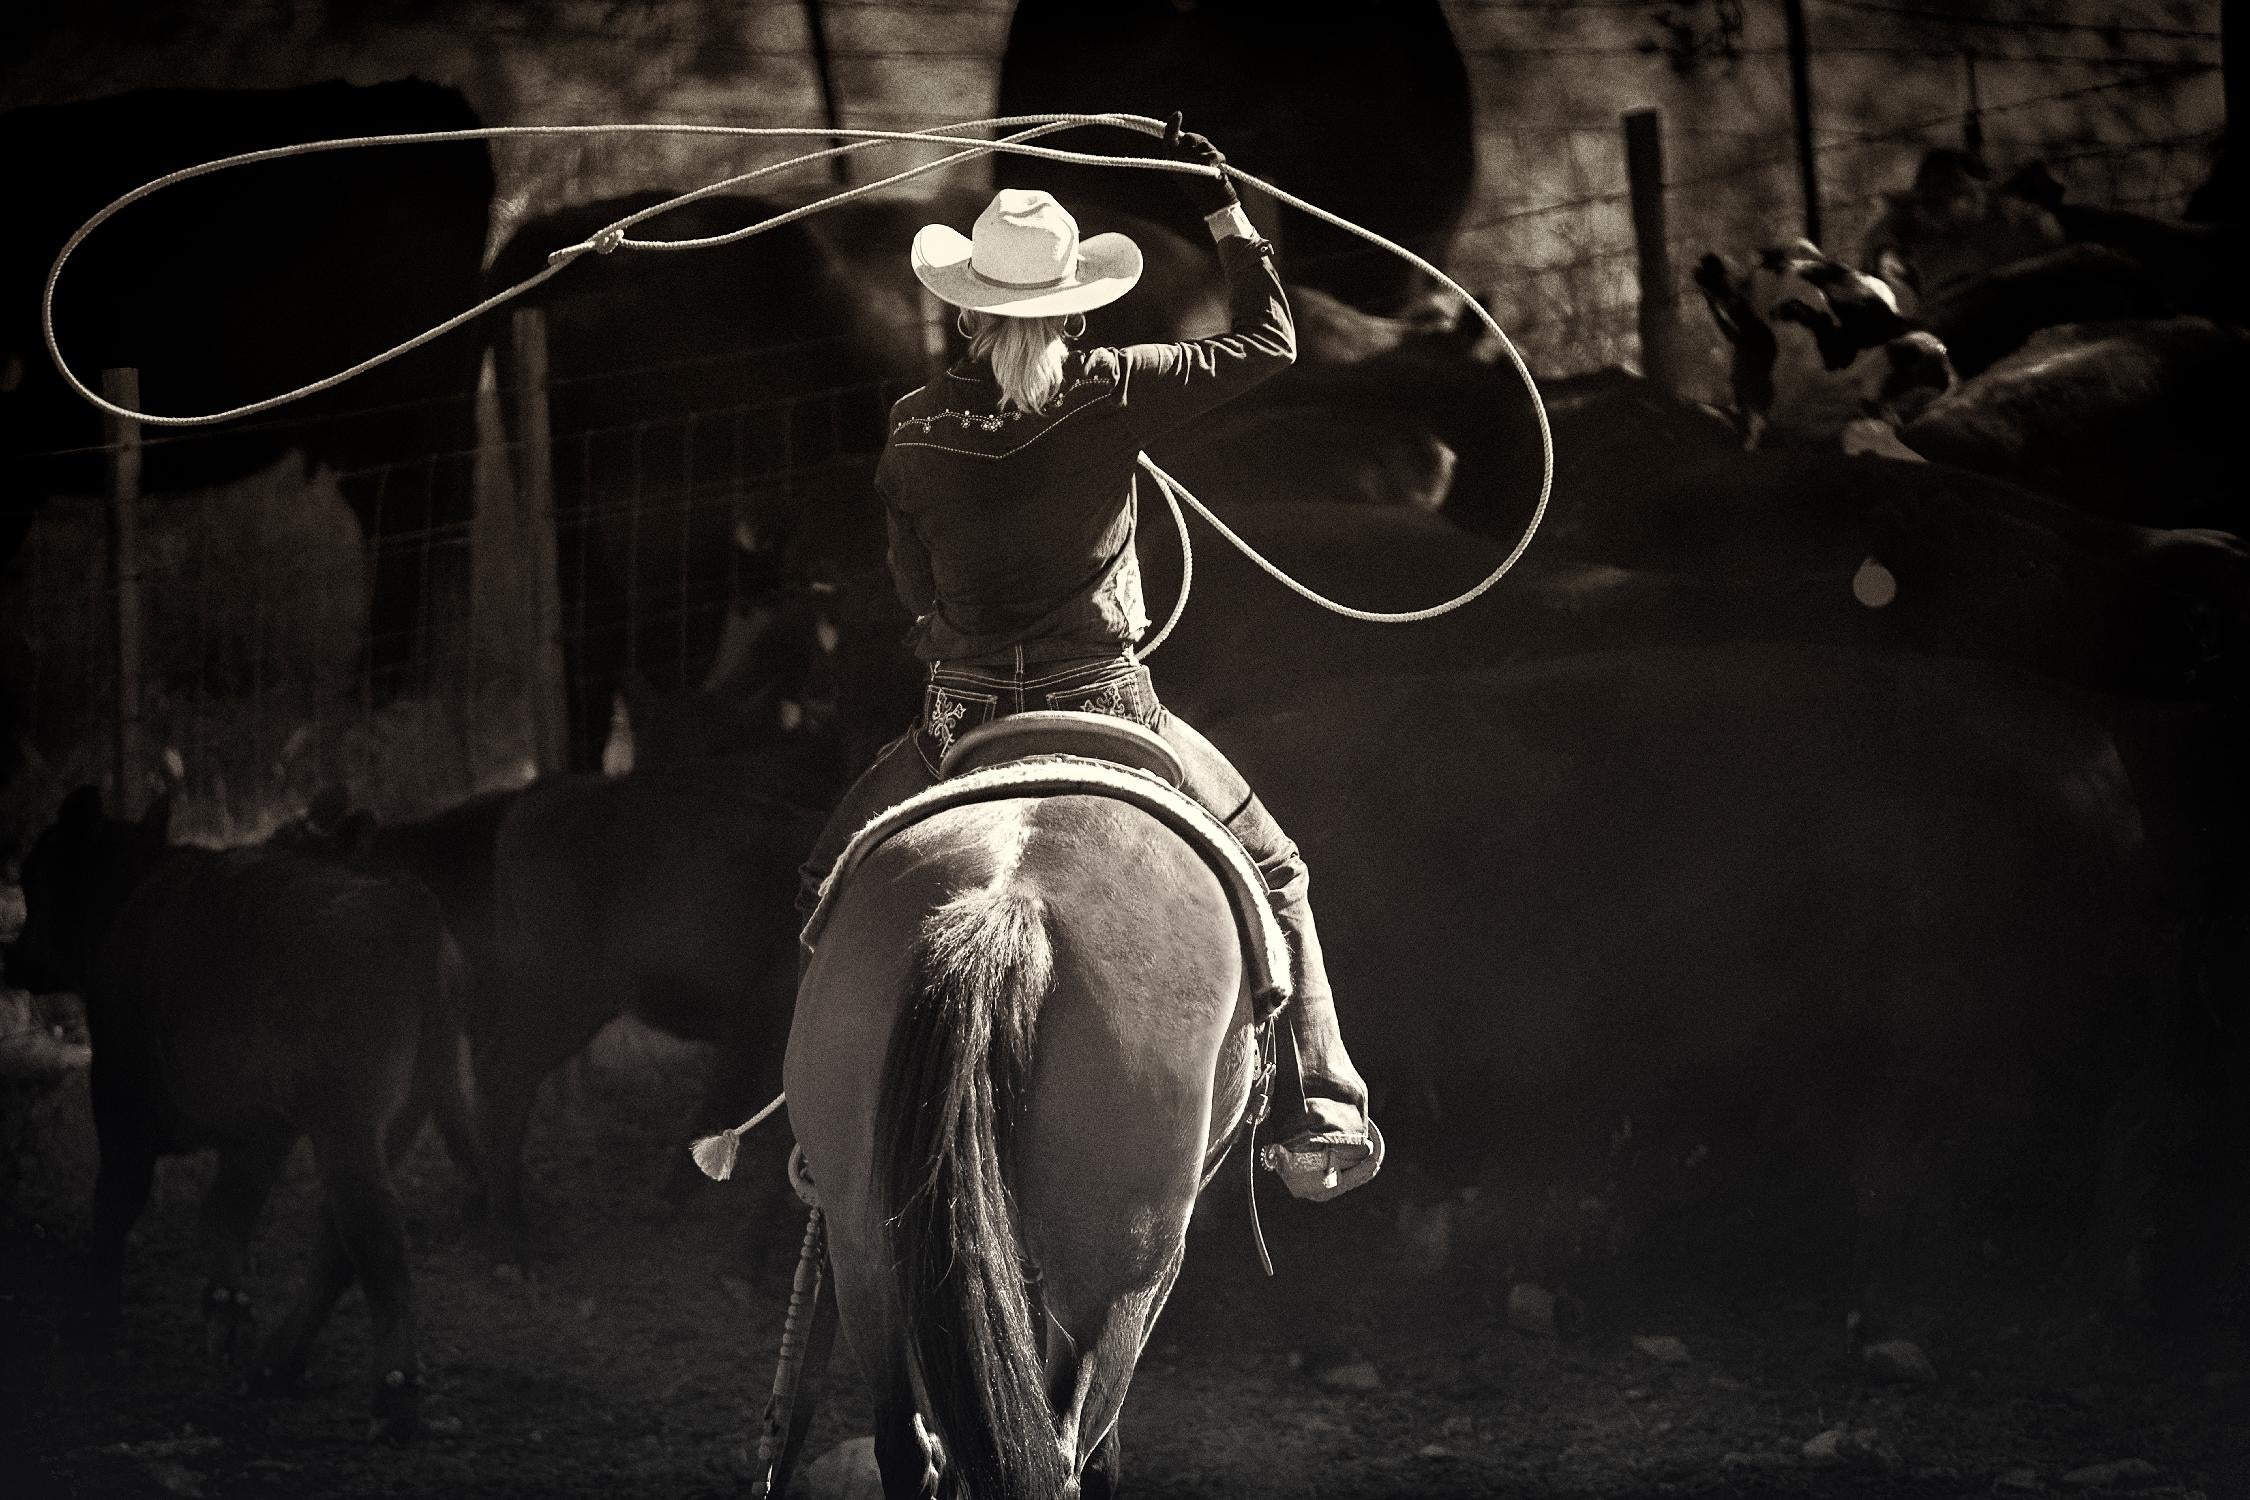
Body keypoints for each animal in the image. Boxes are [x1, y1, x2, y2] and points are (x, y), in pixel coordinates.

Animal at [3, 787, 470, 1439]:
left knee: (373, 1237)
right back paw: (275, 1366)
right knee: (338, 1240)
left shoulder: (120, 1100)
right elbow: (224, 1211)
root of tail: (407, 909)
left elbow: (117, 1204)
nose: (14, 959)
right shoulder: (257, 1135)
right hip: (393, 1125)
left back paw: (393, 1397)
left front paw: (97, 1316)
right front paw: (225, 1312)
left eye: (39, 876)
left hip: (347, 1127)